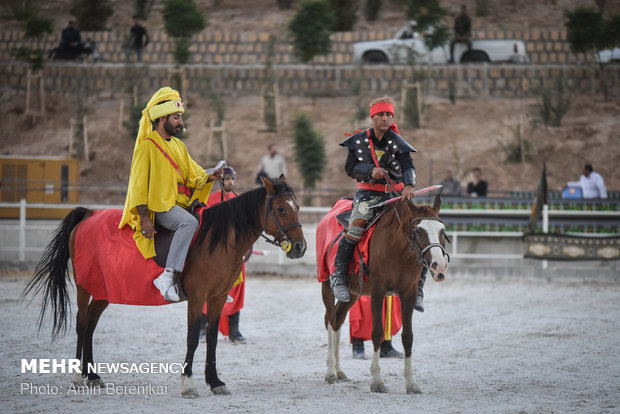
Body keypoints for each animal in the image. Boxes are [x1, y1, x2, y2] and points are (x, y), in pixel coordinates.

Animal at [21, 176, 306, 396]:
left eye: (298, 207)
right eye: (281, 209)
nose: (300, 247)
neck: (218, 237)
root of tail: (90, 215)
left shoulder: (216, 297)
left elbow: (212, 339)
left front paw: (214, 381)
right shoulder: (198, 297)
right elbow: (192, 338)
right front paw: (188, 383)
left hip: (104, 292)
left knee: (90, 325)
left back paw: (93, 376)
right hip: (84, 287)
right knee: (82, 325)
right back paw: (78, 378)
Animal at [320, 195, 450, 394]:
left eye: (442, 231)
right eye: (418, 231)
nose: (439, 266)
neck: (399, 250)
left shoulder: (409, 294)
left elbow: (408, 337)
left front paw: (411, 382)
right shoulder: (377, 292)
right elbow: (377, 333)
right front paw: (377, 381)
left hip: (352, 293)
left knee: (338, 320)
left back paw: (339, 371)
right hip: (326, 283)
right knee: (330, 319)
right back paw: (330, 372)